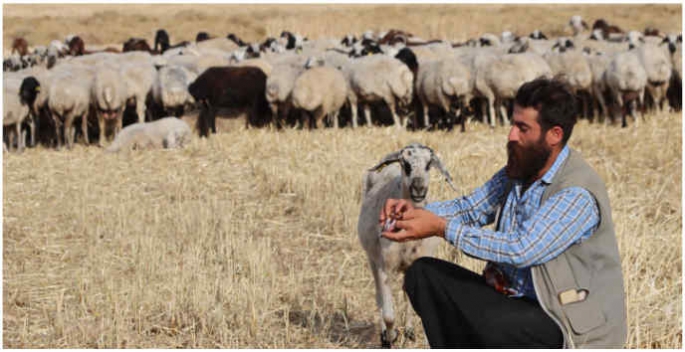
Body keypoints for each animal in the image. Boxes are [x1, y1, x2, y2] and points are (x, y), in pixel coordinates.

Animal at [356, 143, 456, 350]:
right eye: (406, 163)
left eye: (429, 164)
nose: (419, 189)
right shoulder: (385, 266)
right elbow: (388, 314)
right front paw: (390, 338)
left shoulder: (416, 263)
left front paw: (408, 331)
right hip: (372, 258)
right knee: (379, 296)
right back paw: (384, 334)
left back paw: (409, 330)